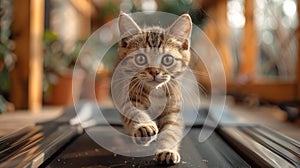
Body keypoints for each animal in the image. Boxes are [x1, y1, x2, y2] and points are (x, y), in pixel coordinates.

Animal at [117, 12, 192, 165]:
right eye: (140, 59)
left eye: (167, 60)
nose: (154, 72)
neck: (156, 92)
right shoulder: (128, 97)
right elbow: (133, 111)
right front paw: (144, 126)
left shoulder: (173, 110)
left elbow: (171, 131)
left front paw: (167, 150)